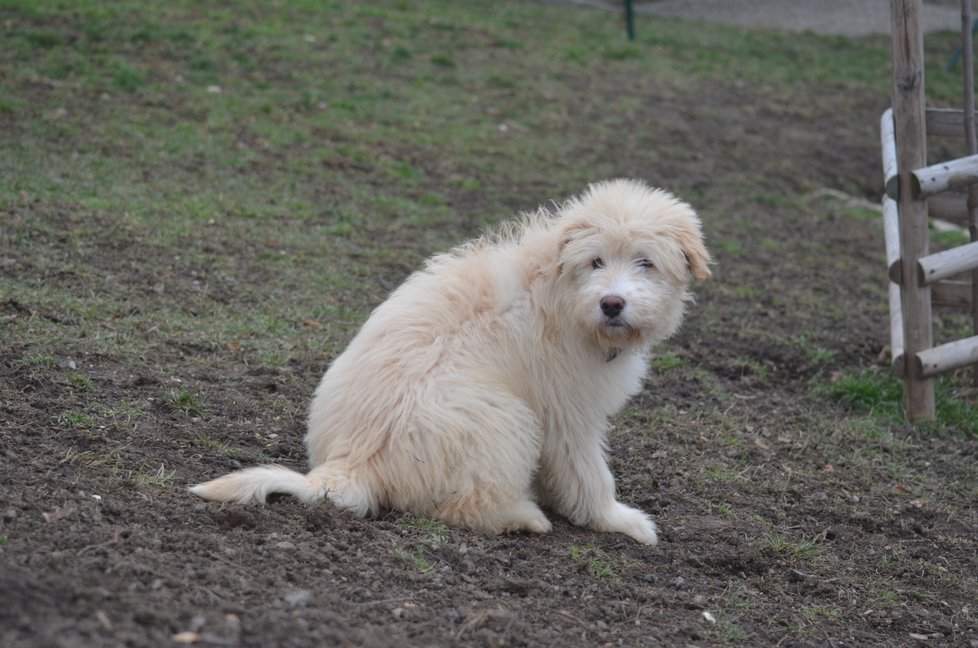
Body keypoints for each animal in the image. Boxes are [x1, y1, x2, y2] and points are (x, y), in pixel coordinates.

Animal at [191, 180, 708, 544]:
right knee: (463, 507)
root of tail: (350, 466)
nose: (612, 304)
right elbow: (588, 473)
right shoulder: (568, 414)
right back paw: (521, 516)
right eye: (596, 261)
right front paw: (620, 520)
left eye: (645, 262)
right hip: (503, 418)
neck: (561, 289)